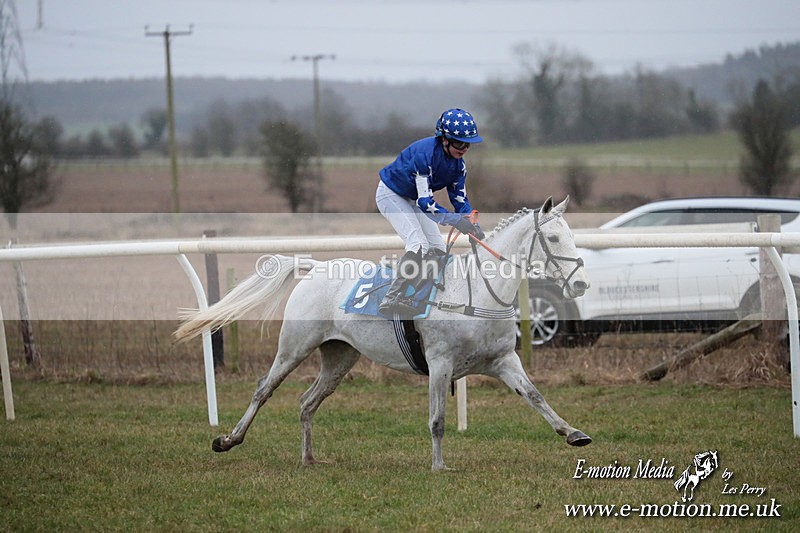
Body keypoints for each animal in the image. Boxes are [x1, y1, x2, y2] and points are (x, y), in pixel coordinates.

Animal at [175, 196, 592, 471]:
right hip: (295, 346)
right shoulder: (440, 364)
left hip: (340, 356)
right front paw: (439, 466)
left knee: (308, 402)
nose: (581, 285)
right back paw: (228, 439)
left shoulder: (503, 361)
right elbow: (437, 419)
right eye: (554, 239)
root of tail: (314, 267)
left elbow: (535, 396)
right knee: (264, 389)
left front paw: (573, 432)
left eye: (571, 235)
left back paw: (309, 458)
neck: (476, 291)